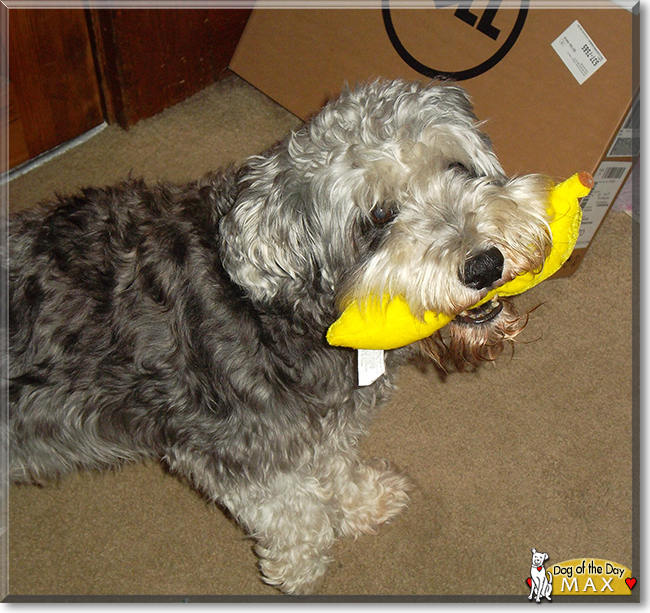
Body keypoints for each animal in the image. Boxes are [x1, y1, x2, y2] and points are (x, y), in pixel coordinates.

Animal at [5, 77, 552, 592]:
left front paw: (362, 501)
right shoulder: (234, 451)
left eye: (457, 167)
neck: (283, 315)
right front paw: (301, 568)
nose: (484, 264)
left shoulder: (321, 420)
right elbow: (293, 512)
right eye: (379, 214)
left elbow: (334, 464)